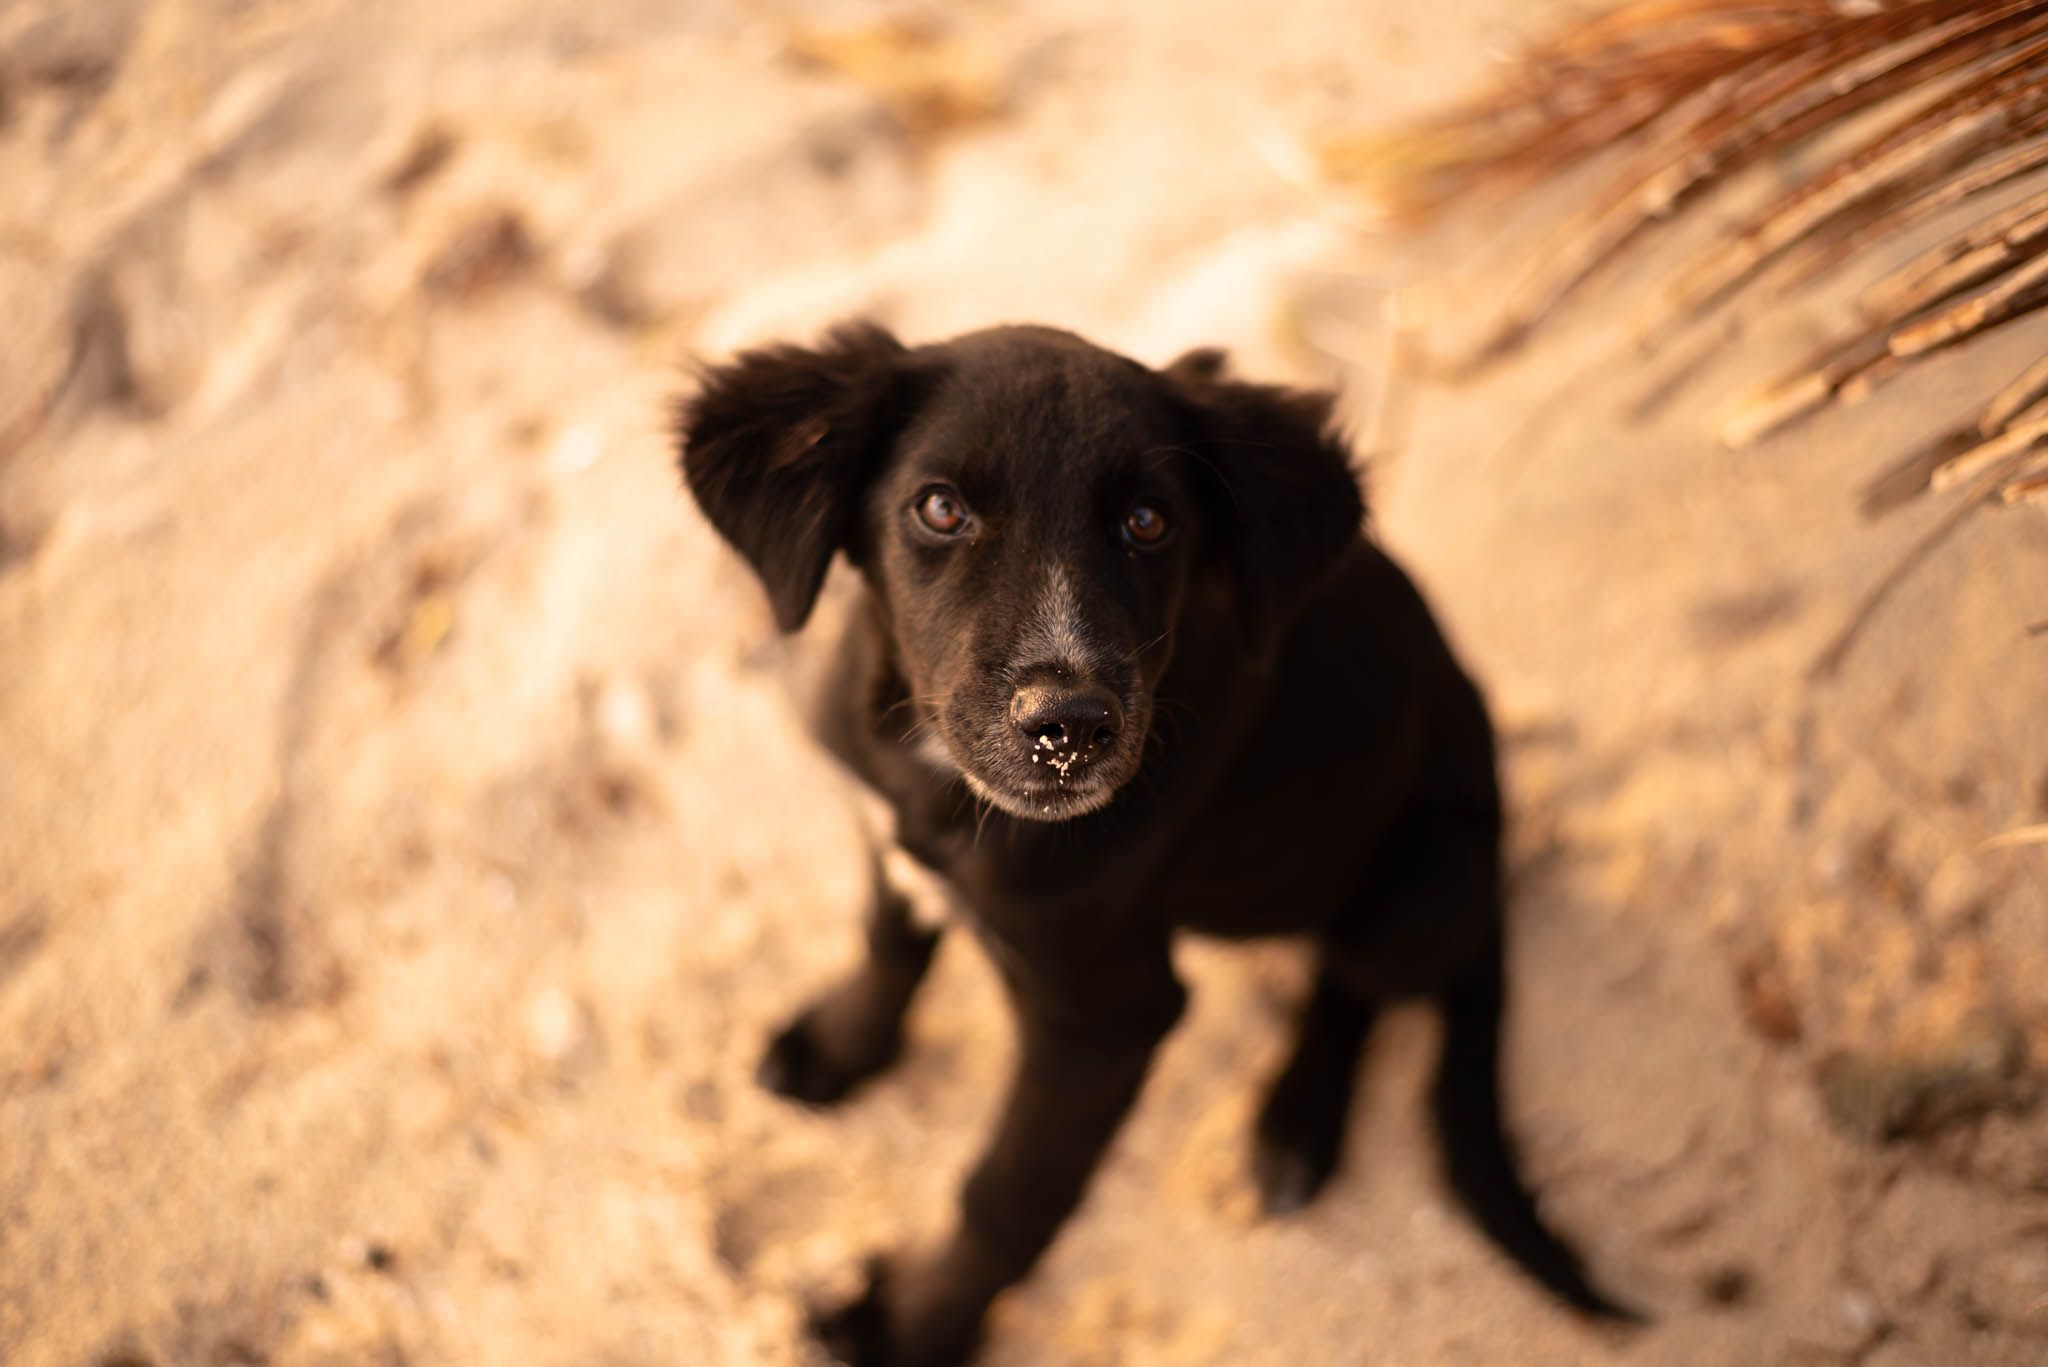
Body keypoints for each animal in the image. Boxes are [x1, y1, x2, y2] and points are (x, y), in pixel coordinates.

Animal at [679, 325, 1622, 1360]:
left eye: (1148, 521)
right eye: (939, 508)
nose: (1070, 727)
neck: (931, 774)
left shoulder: (1103, 1014)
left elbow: (1006, 1193)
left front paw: (907, 1328)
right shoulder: (890, 840)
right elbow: (889, 942)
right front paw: (836, 1047)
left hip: (1425, 875)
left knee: (1351, 984)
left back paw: (1294, 1125)